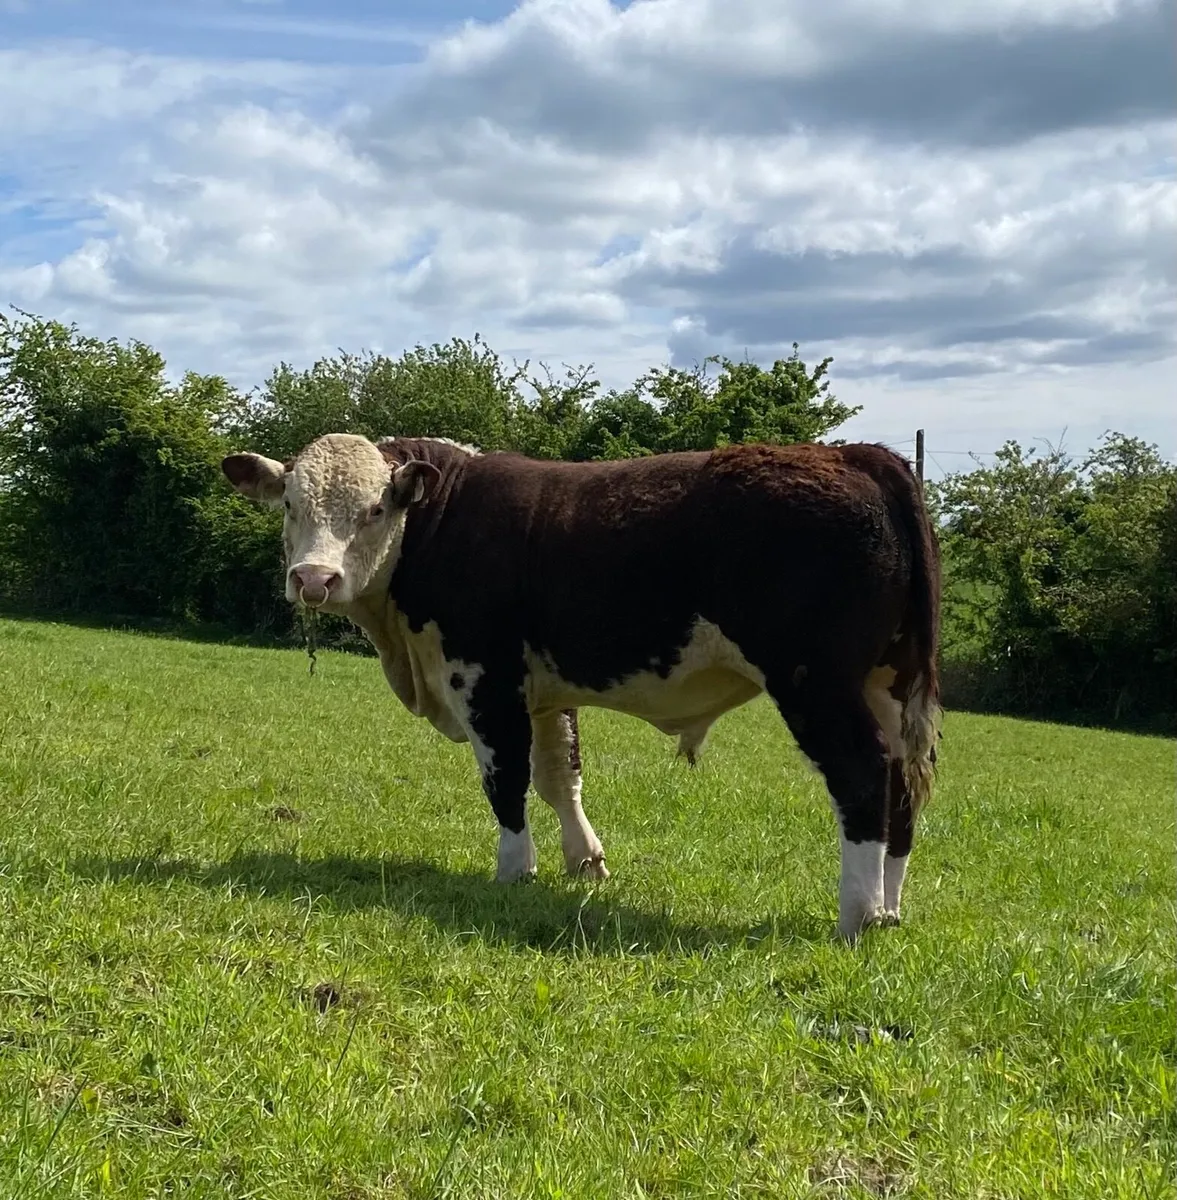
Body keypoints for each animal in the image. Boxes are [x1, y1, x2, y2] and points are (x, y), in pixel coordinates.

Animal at [222, 433, 941, 940]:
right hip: (887, 682)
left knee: (862, 775)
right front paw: (583, 861)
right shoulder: (544, 689)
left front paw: (515, 868)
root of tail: (855, 454)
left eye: (374, 509)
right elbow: (558, 774)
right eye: (291, 505)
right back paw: (890, 909)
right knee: (902, 784)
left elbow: (506, 779)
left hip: (815, 683)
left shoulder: (484, 677)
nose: (314, 579)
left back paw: (856, 913)